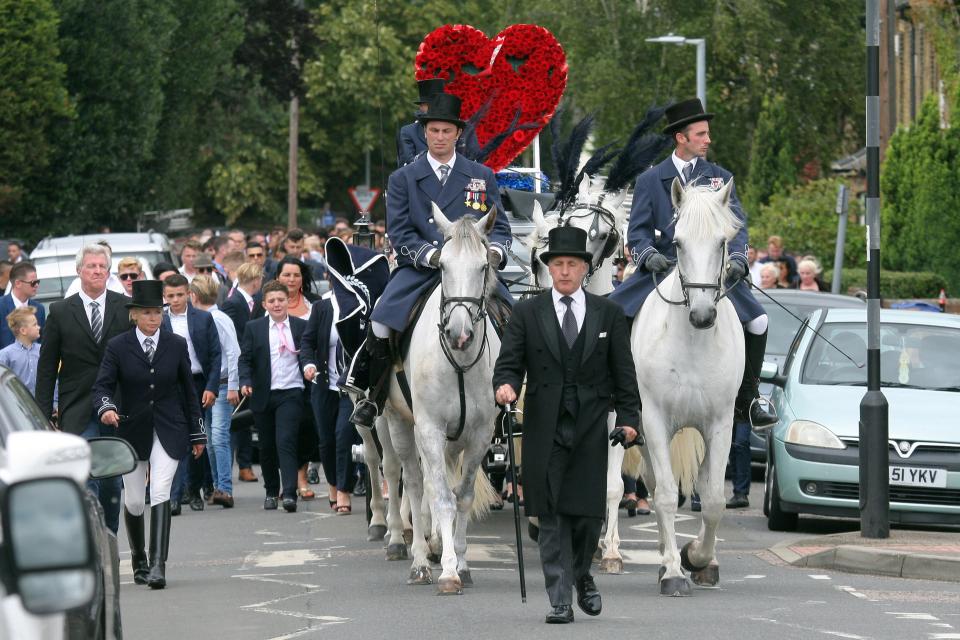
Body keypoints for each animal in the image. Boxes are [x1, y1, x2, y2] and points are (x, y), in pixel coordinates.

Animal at [382, 206, 502, 596]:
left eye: (484, 265)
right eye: (443, 266)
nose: (459, 334)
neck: (460, 362)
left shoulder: (480, 434)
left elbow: (461, 497)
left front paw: (461, 563)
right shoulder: (430, 429)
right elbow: (440, 497)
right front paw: (448, 571)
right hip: (397, 423)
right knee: (411, 480)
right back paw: (416, 556)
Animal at [632, 179, 748, 596]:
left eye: (722, 241)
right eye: (677, 243)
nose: (701, 315)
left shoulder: (720, 424)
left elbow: (712, 499)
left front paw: (697, 558)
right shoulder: (654, 421)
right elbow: (667, 495)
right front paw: (673, 572)